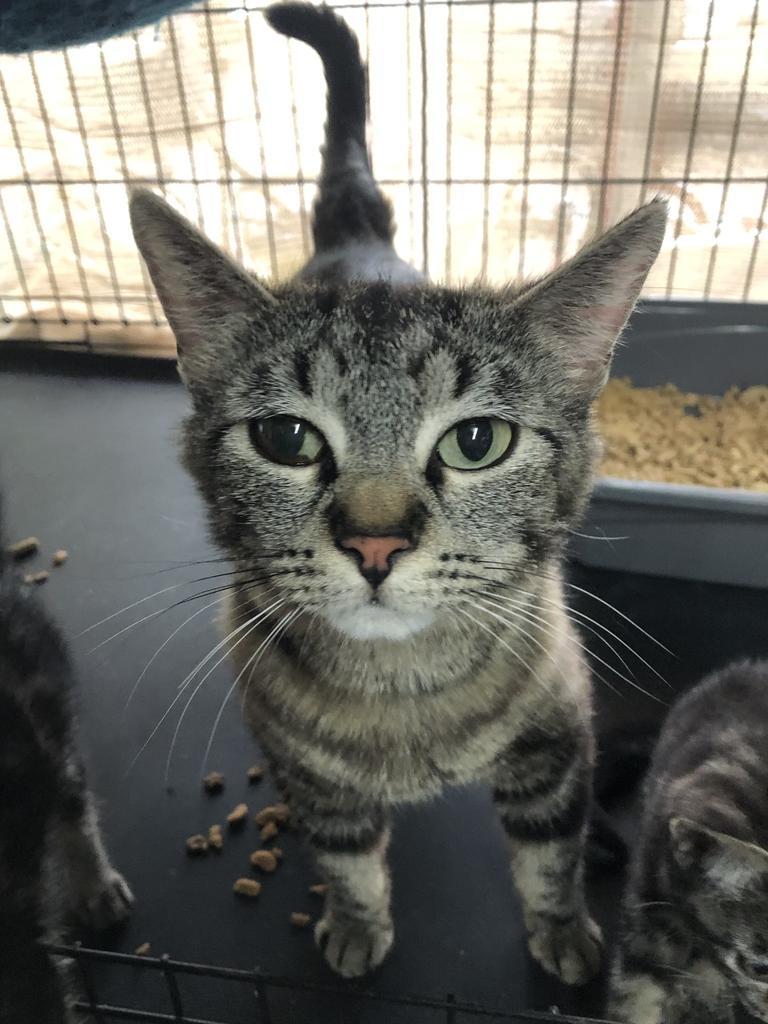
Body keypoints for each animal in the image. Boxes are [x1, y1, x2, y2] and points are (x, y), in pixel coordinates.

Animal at [128, 0, 667, 978]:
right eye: (286, 438)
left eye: (478, 440)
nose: (374, 543)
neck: (404, 697)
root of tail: (357, 239)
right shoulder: (306, 768)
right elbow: (344, 852)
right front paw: (353, 920)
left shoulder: (558, 735)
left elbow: (552, 850)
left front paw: (564, 929)